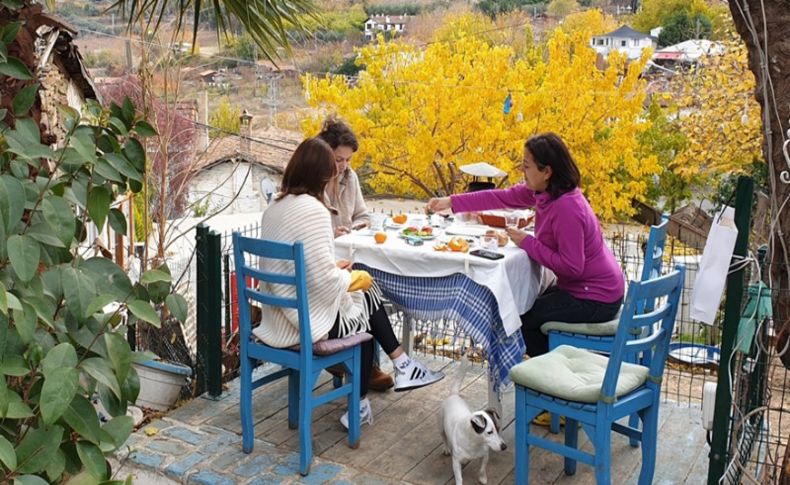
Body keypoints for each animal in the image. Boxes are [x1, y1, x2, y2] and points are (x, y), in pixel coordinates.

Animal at [440, 356, 508, 484]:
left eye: (498, 429)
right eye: (489, 432)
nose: (504, 447)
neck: (474, 443)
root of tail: (454, 394)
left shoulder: (485, 455)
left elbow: (482, 468)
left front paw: (482, 479)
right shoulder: (455, 461)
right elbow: (459, 477)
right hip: (440, 426)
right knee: (444, 438)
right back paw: (446, 448)